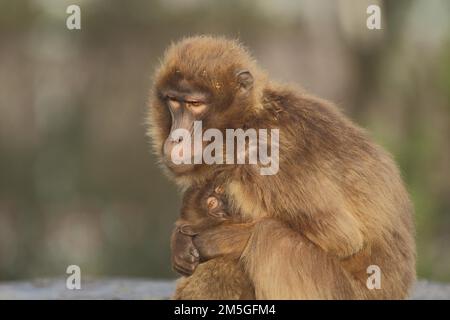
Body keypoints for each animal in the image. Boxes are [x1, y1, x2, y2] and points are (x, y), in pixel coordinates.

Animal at [148, 35, 414, 300]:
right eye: (174, 101)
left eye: (195, 104)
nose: (177, 138)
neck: (246, 123)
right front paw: (180, 238)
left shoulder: (261, 156)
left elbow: (340, 237)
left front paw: (211, 239)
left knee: (272, 238)